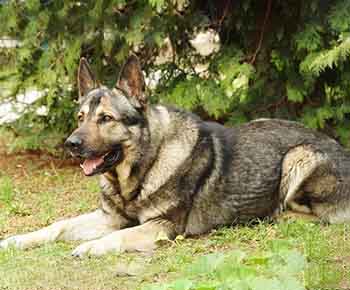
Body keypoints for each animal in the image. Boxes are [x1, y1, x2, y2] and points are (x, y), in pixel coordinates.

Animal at [2, 55, 350, 256]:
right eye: (80, 117)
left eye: (106, 119)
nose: (70, 144)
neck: (143, 167)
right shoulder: (109, 218)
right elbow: (57, 226)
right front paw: (16, 241)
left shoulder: (161, 227)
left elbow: (123, 236)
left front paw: (91, 246)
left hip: (299, 156)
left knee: (315, 216)